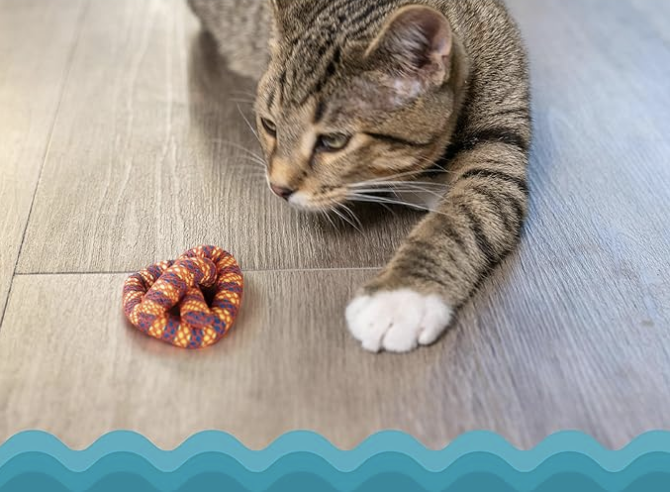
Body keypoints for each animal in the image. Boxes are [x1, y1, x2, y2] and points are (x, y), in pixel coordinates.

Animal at [188, 0, 532, 354]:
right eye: (270, 125)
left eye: (333, 141)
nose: (278, 188)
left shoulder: (500, 149)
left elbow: (461, 219)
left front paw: (400, 298)